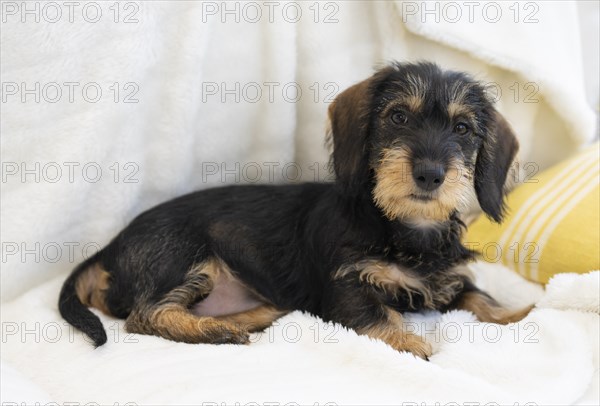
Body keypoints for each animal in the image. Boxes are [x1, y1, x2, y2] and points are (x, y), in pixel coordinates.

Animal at [59, 61, 528, 358]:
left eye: (463, 128)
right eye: (398, 117)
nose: (430, 174)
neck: (403, 229)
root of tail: (110, 248)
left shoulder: (447, 279)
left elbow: (477, 295)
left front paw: (516, 313)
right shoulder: (346, 286)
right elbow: (378, 313)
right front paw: (410, 342)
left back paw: (256, 316)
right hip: (184, 254)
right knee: (146, 316)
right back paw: (217, 330)